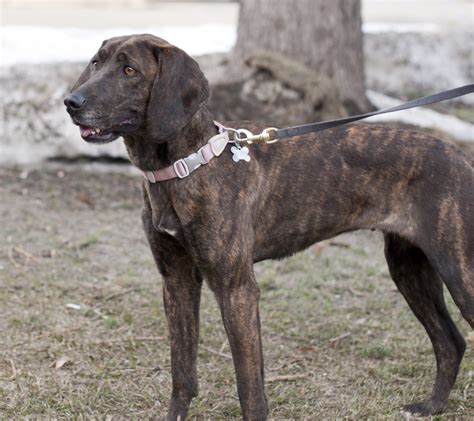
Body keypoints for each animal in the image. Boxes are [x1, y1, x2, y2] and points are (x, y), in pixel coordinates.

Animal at [64, 34, 474, 418]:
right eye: (96, 62)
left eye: (129, 70)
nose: (71, 102)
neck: (185, 165)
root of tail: (462, 158)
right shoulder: (176, 280)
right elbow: (182, 372)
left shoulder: (237, 289)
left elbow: (249, 385)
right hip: (408, 268)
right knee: (451, 342)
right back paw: (430, 407)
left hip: (458, 272)